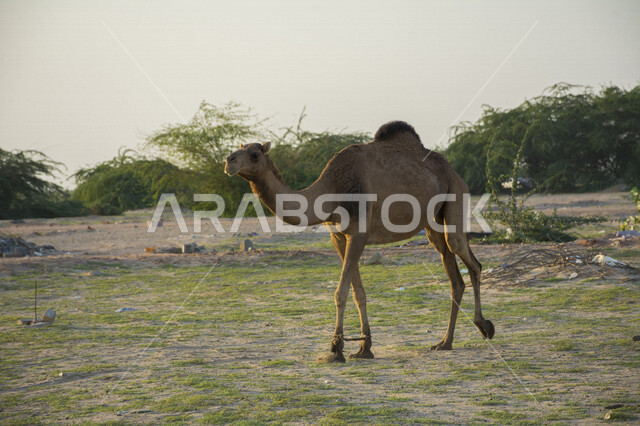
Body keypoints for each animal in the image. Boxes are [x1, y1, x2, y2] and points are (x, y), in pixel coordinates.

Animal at [224, 121, 494, 362]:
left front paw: (336, 349)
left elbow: (341, 292)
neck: (331, 191)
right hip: (432, 224)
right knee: (453, 274)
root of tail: (452, 170)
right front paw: (365, 347)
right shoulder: (338, 237)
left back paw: (484, 327)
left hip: (455, 197)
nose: (229, 161)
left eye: (255, 154)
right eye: (240, 147)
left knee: (468, 257)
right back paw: (445, 342)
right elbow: (358, 292)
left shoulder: (358, 234)